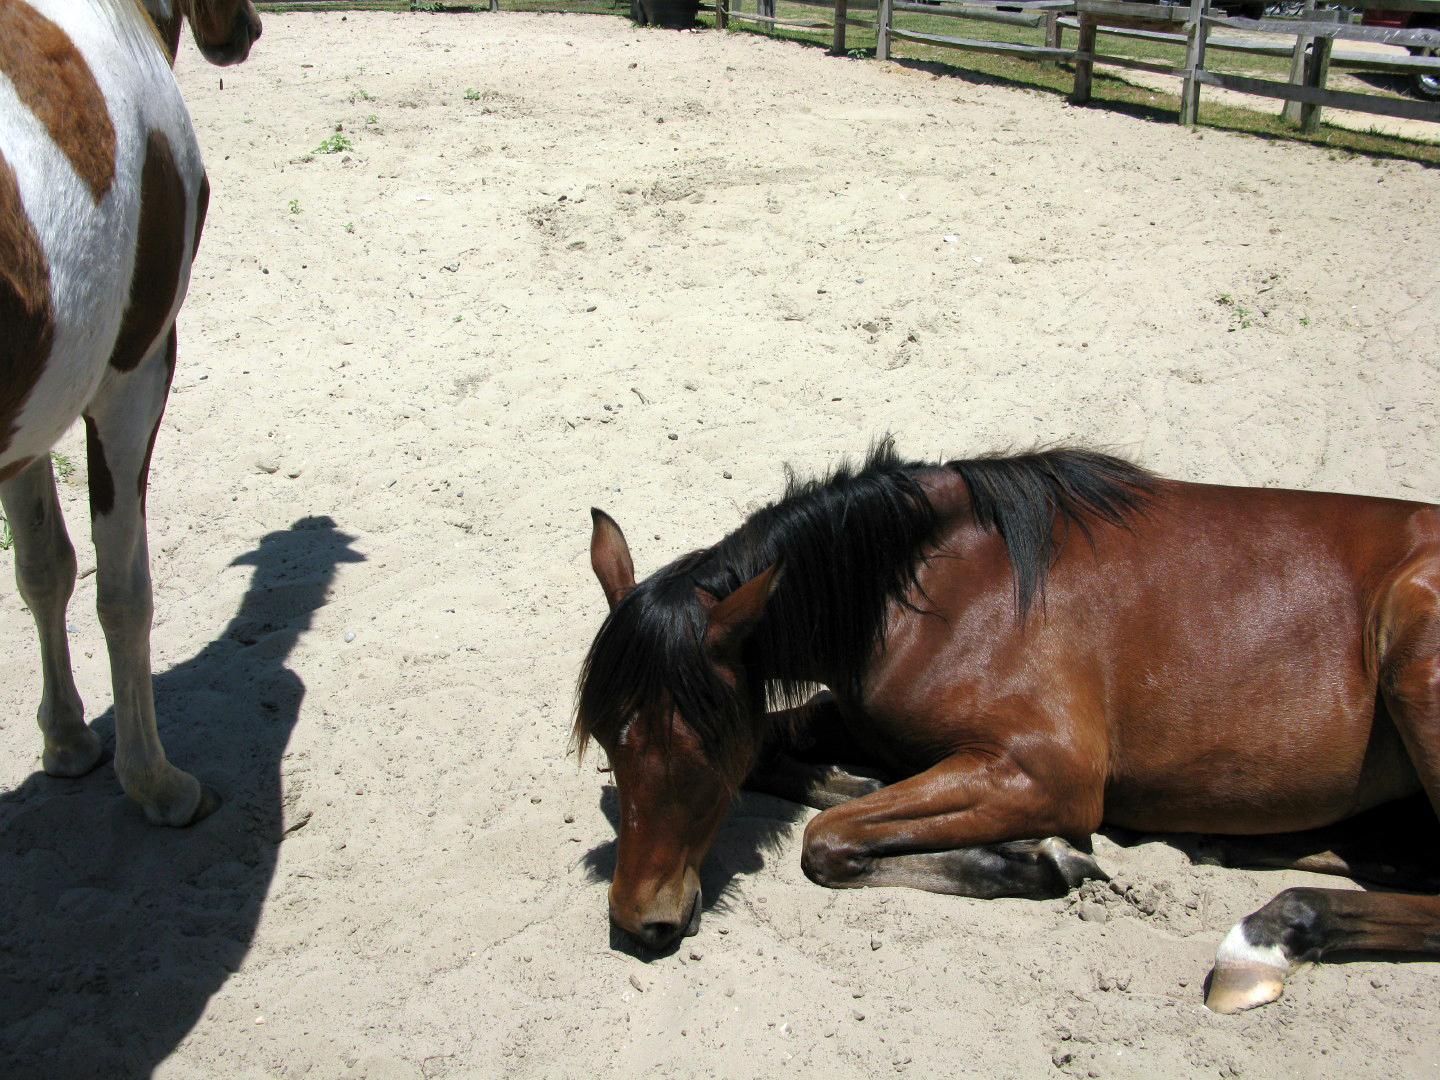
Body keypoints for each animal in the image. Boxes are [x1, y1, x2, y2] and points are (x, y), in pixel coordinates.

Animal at [0, 0, 260, 825]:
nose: (244, 30)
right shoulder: (135, 370)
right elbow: (124, 591)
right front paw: (153, 779)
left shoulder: (34, 417)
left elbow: (44, 566)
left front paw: (67, 740)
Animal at [575, 443, 1440, 1013]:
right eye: (613, 746)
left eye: (698, 756)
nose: (640, 923)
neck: (928, 583)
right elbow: (795, 765)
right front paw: (861, 781)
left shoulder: (1048, 772)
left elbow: (828, 840)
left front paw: (1040, 859)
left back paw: (1272, 934)